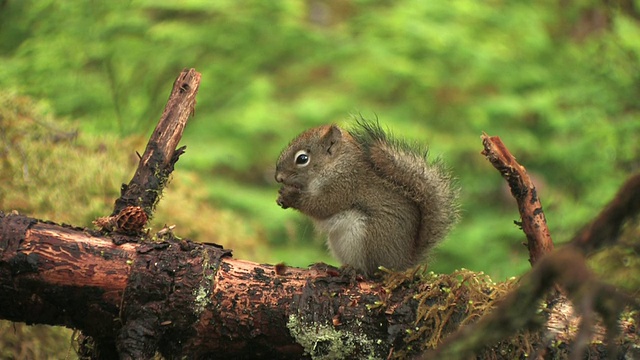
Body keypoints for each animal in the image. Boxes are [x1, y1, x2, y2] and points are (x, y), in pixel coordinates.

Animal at [276, 119, 460, 276]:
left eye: (302, 158)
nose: (278, 178)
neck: (336, 165)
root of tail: (402, 262)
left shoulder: (344, 187)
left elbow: (321, 206)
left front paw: (290, 196)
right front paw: (281, 198)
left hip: (367, 239)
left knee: (370, 271)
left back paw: (354, 270)